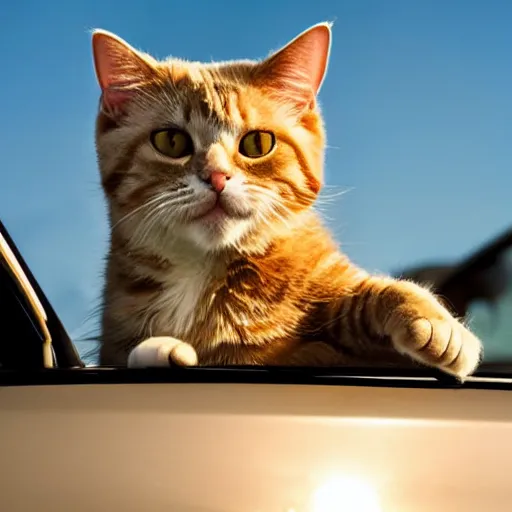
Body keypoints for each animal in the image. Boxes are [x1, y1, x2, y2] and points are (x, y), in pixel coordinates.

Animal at [91, 22, 484, 378]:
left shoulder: (331, 286)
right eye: (171, 142)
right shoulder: (114, 343)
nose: (217, 177)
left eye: (257, 143)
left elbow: (376, 293)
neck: (203, 274)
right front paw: (162, 348)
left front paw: (437, 326)